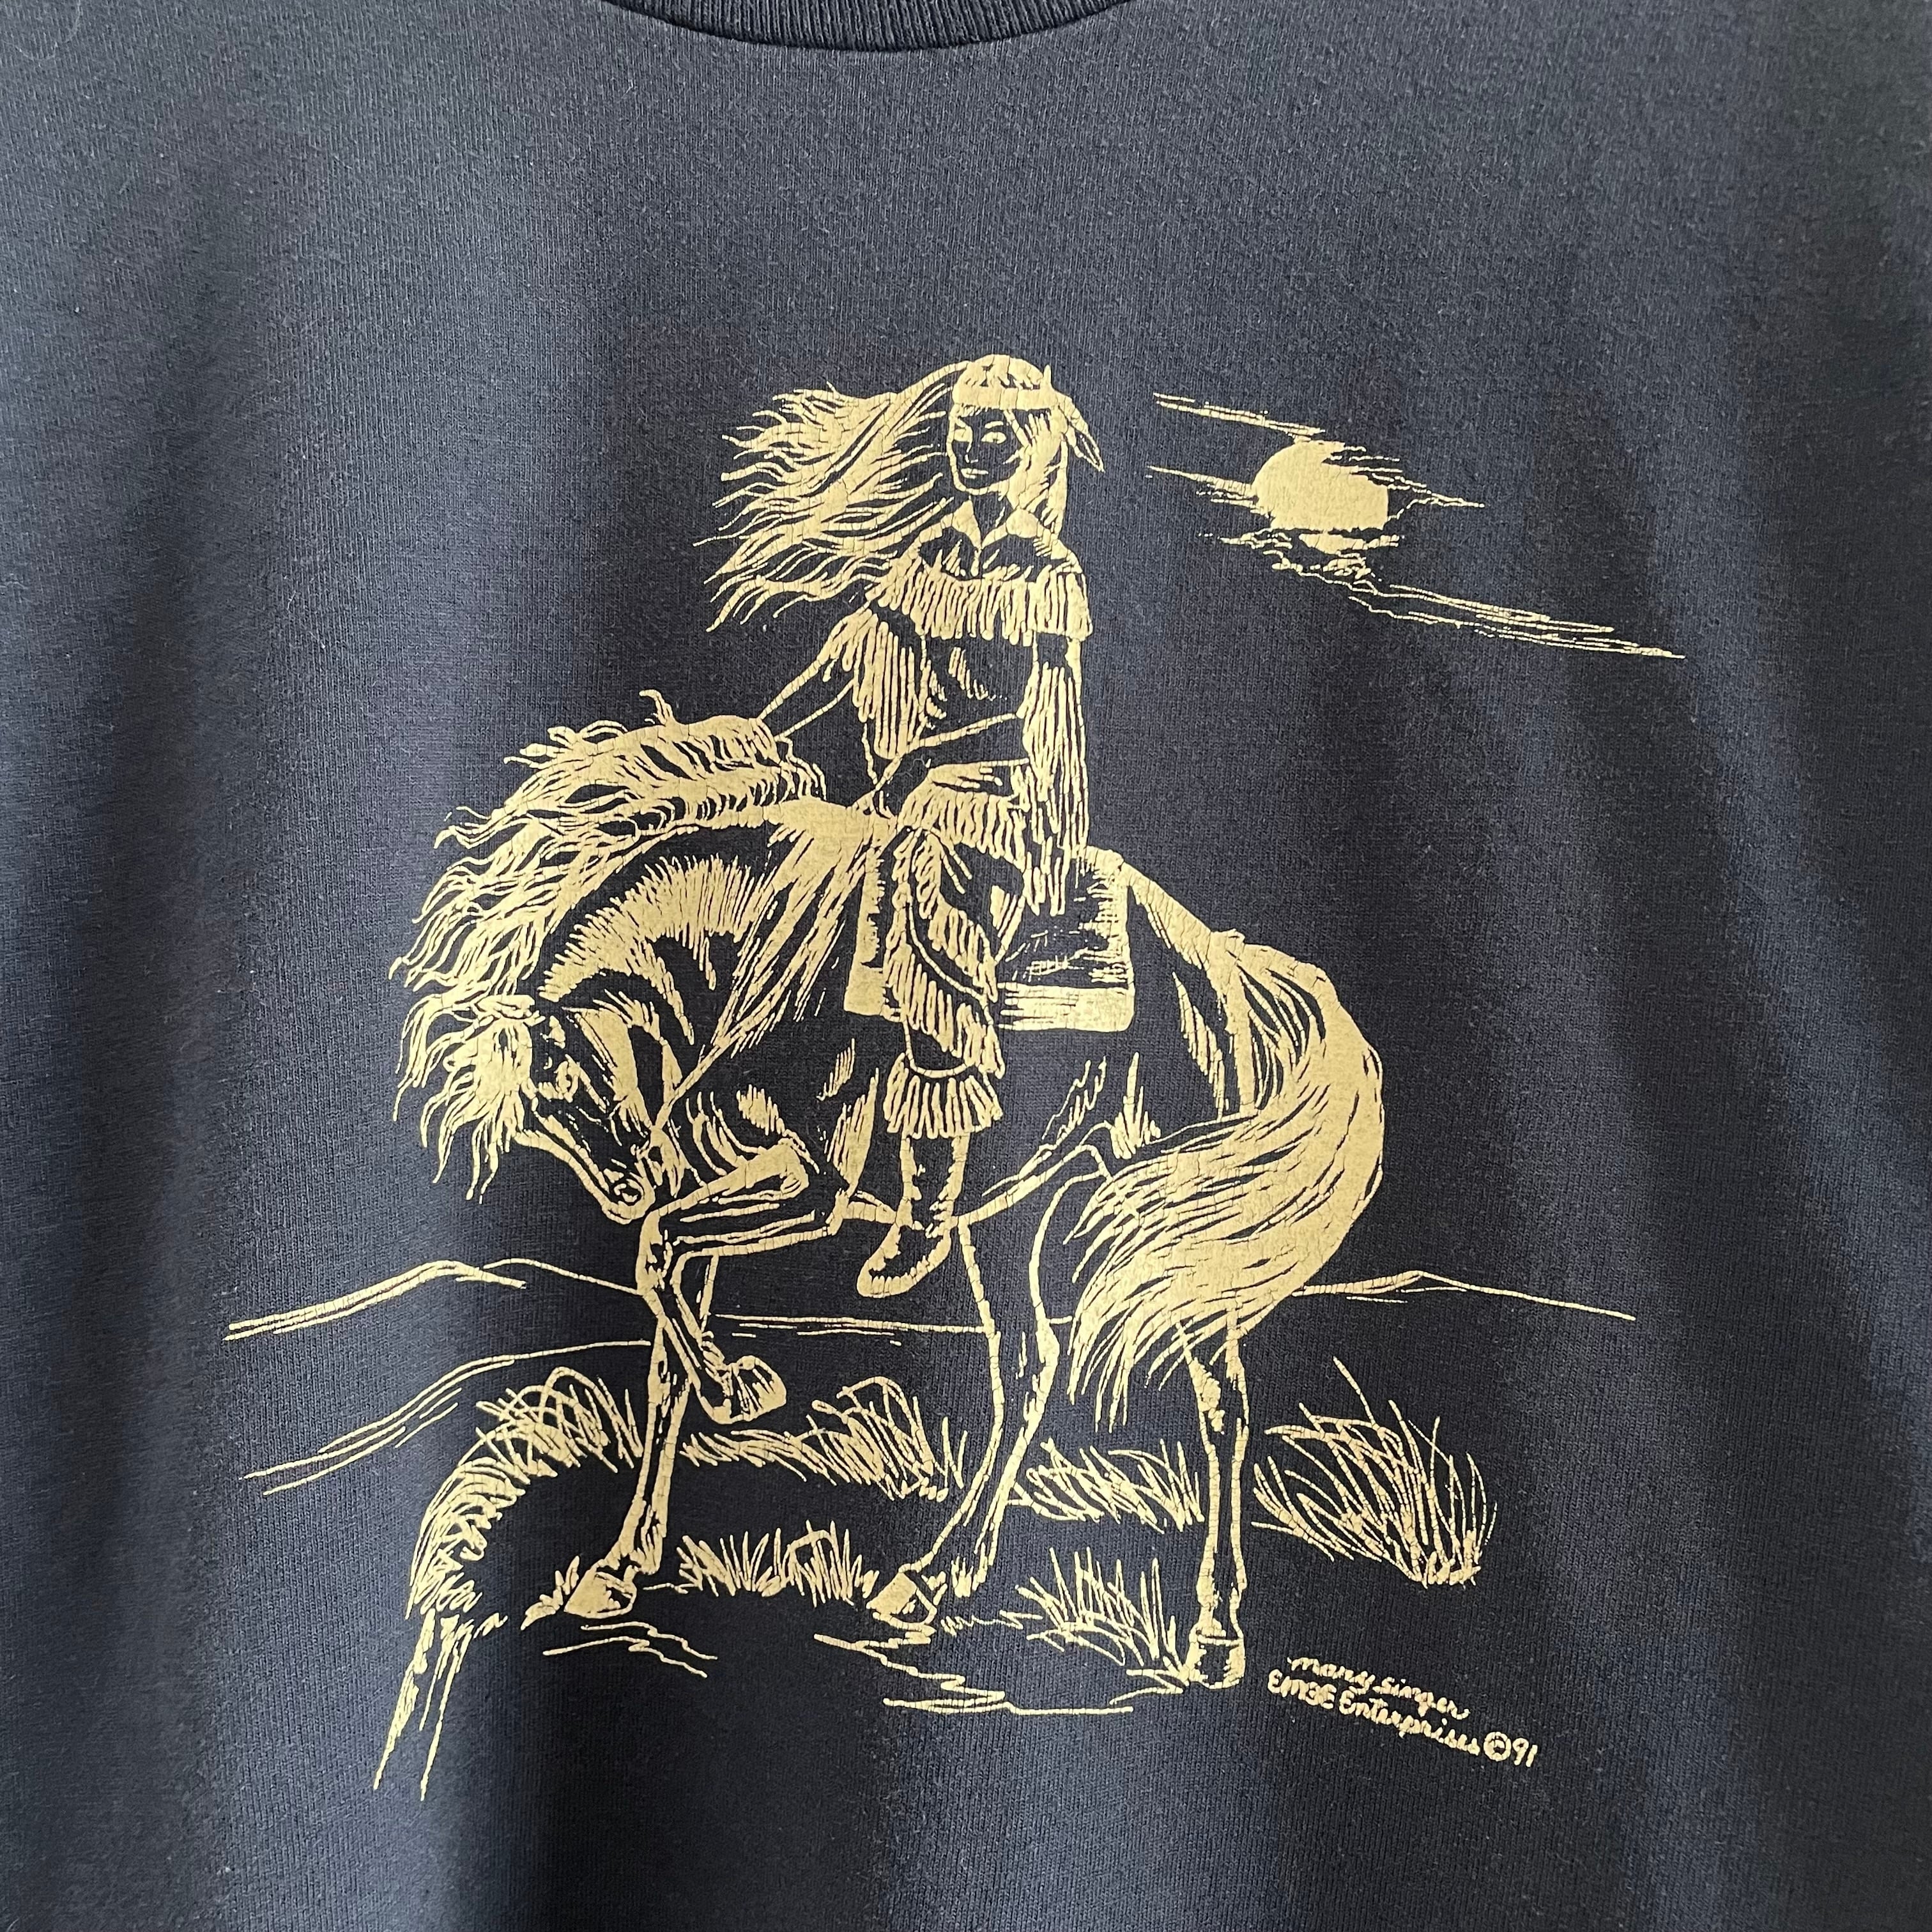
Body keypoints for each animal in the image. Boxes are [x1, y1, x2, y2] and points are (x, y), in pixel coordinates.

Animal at [389, 699, 1384, 1687]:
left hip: (1177, 1219)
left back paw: (1212, 1634)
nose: (629, 1185)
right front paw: (622, 1565)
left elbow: (660, 1255)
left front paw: (742, 1392)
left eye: (565, 1079)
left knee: (1221, 1403)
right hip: (1011, 1212)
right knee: (1029, 1365)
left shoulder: (807, 1184)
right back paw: (934, 1578)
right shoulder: (715, 1182)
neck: (751, 937)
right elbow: (666, 1336)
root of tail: (1212, 958)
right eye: (536, 1125)